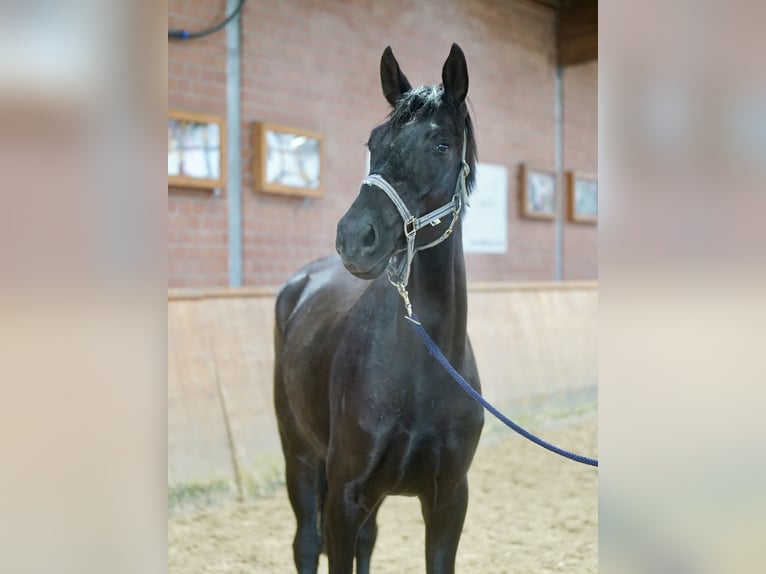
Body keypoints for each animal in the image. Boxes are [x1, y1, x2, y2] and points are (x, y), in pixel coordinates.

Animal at [272, 46, 484, 574]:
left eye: (441, 145)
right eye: (373, 141)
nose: (355, 236)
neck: (424, 365)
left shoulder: (449, 499)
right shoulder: (344, 497)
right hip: (299, 456)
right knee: (305, 543)